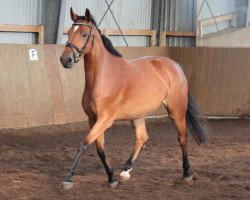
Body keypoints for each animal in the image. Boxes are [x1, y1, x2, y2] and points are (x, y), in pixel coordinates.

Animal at [59, 7, 206, 189]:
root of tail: (175, 65)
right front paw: (112, 177)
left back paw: (187, 173)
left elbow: (84, 143)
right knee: (142, 138)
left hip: (176, 111)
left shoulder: (105, 119)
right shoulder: (93, 120)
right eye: (69, 33)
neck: (104, 77)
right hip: (138, 115)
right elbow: (100, 149)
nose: (66, 60)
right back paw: (125, 171)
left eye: (84, 34)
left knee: (182, 138)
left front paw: (68, 178)